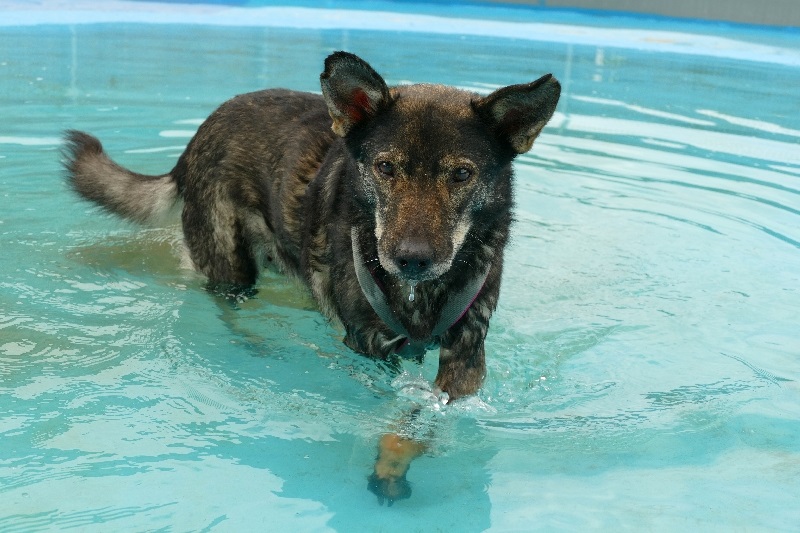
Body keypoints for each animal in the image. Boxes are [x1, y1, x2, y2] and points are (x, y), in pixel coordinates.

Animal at [62, 52, 564, 504]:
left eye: (461, 174)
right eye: (386, 168)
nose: (411, 260)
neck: (418, 297)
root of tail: (195, 139)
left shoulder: (466, 358)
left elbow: (420, 419)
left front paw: (397, 459)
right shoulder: (368, 350)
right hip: (234, 271)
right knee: (228, 306)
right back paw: (254, 343)